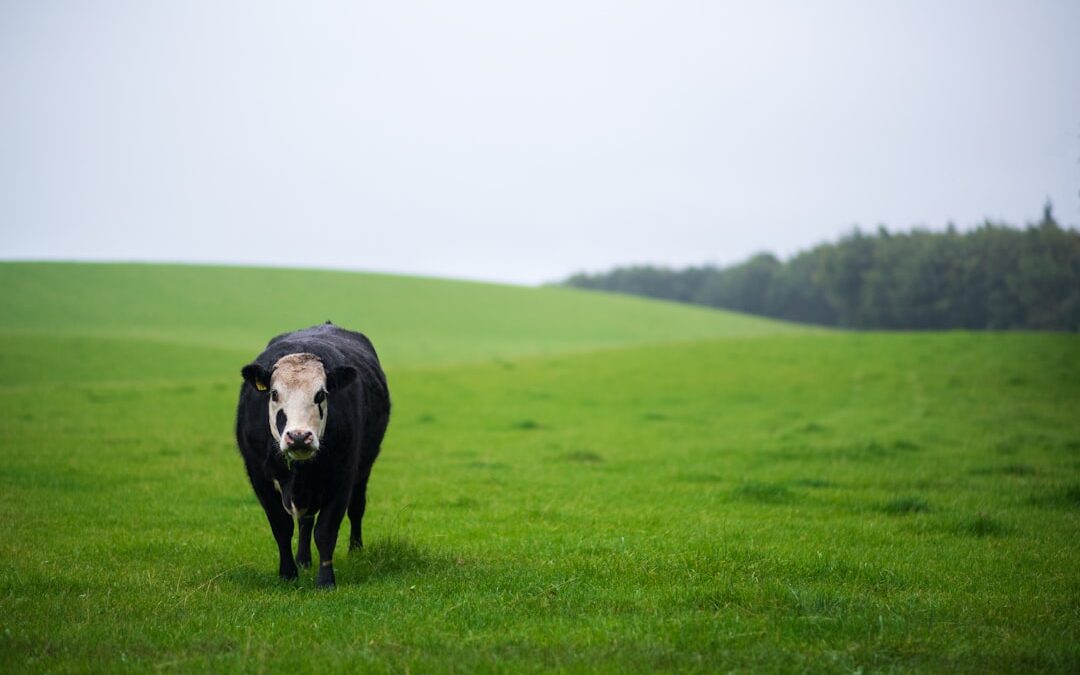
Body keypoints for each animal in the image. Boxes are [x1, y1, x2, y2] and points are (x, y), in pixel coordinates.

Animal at [236, 321, 393, 583]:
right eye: (274, 394)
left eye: (320, 394)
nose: (299, 437)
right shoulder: (258, 476)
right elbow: (282, 526)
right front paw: (288, 573)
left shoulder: (343, 475)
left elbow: (326, 531)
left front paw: (326, 580)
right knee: (305, 522)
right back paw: (303, 559)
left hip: (364, 469)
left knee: (356, 508)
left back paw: (355, 550)